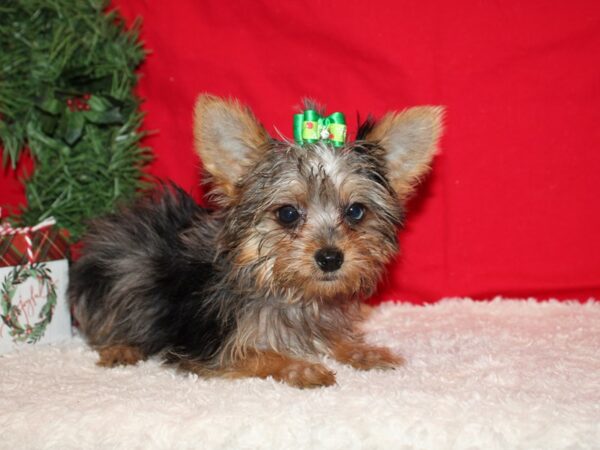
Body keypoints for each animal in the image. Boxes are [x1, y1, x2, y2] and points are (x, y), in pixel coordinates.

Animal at [70, 95, 442, 386]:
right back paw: (120, 347)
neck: (291, 291)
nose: (330, 258)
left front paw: (364, 351)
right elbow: (259, 354)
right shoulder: (213, 349)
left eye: (355, 212)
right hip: (124, 276)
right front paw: (302, 367)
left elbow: (335, 337)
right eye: (287, 214)